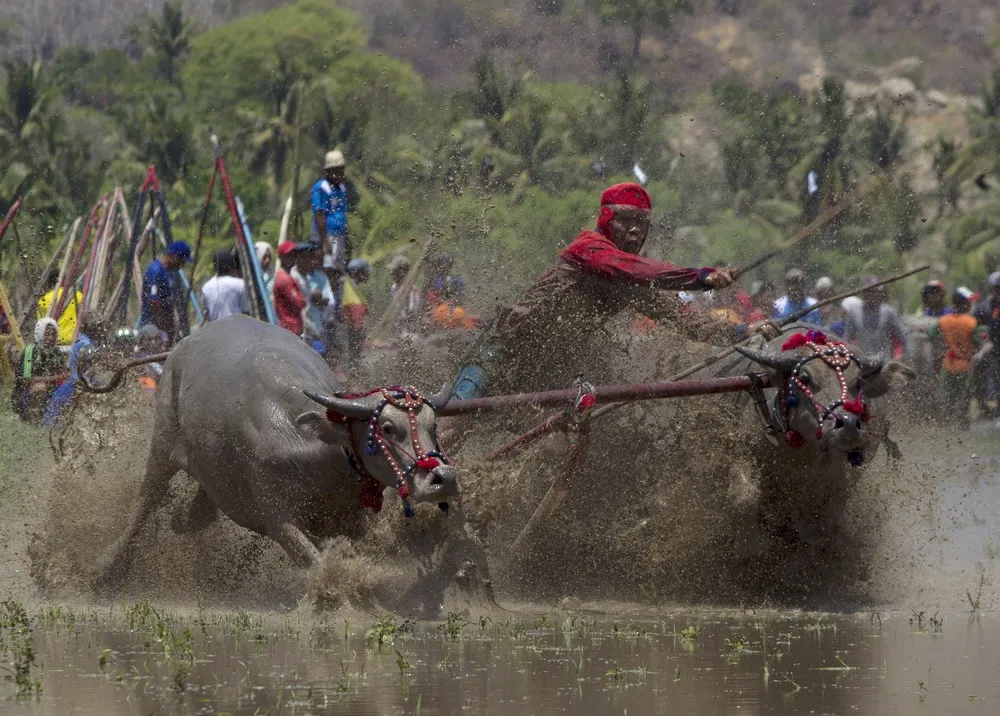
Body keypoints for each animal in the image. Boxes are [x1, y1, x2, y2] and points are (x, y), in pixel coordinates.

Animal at [96, 316, 458, 592]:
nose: (444, 478)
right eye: (386, 427)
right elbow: (316, 561)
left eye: (433, 426)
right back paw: (108, 569)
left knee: (200, 513)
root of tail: (179, 346)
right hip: (162, 441)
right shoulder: (278, 519)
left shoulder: (353, 517)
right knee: (147, 498)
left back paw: (180, 519)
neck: (317, 455)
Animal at [712, 324, 916, 552]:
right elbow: (744, 496)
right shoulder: (742, 450)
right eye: (804, 378)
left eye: (858, 382)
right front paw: (748, 545)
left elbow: (826, 515)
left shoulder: (841, 479)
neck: (803, 452)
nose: (848, 424)